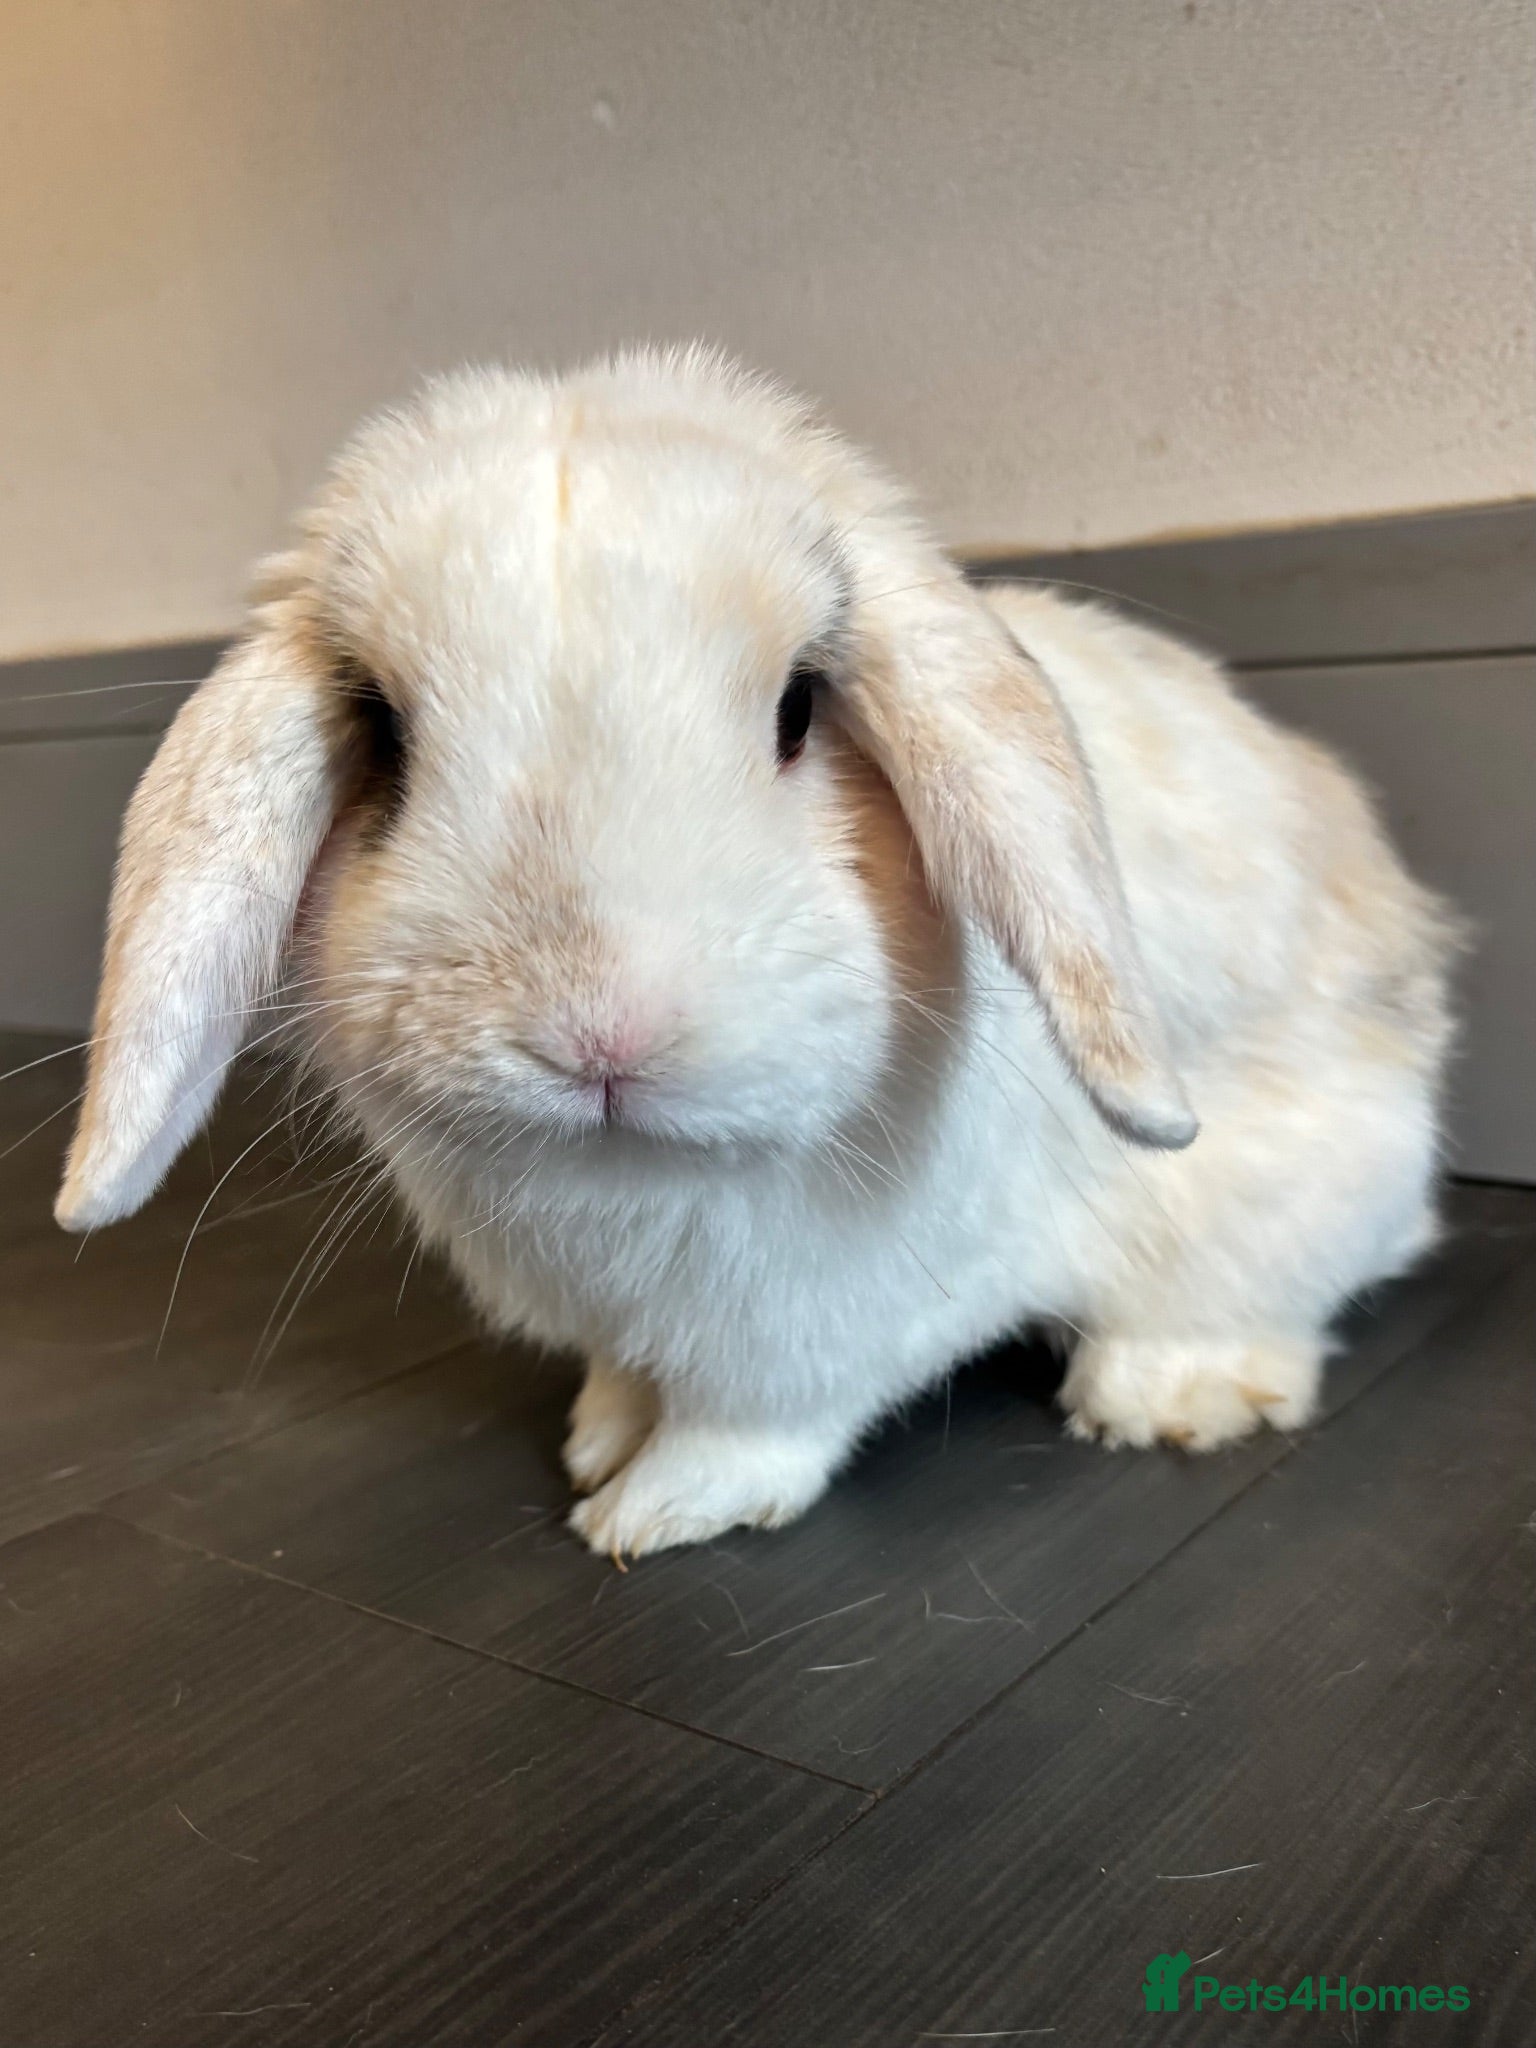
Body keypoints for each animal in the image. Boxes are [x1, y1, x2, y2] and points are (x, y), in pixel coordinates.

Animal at [55, 347, 1458, 1558]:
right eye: (384, 735)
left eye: (797, 708)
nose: (596, 1032)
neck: (637, 1173)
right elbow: (631, 1377)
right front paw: (598, 1436)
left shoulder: (833, 1316)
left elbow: (762, 1420)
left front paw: (648, 1510)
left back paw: (1165, 1396)